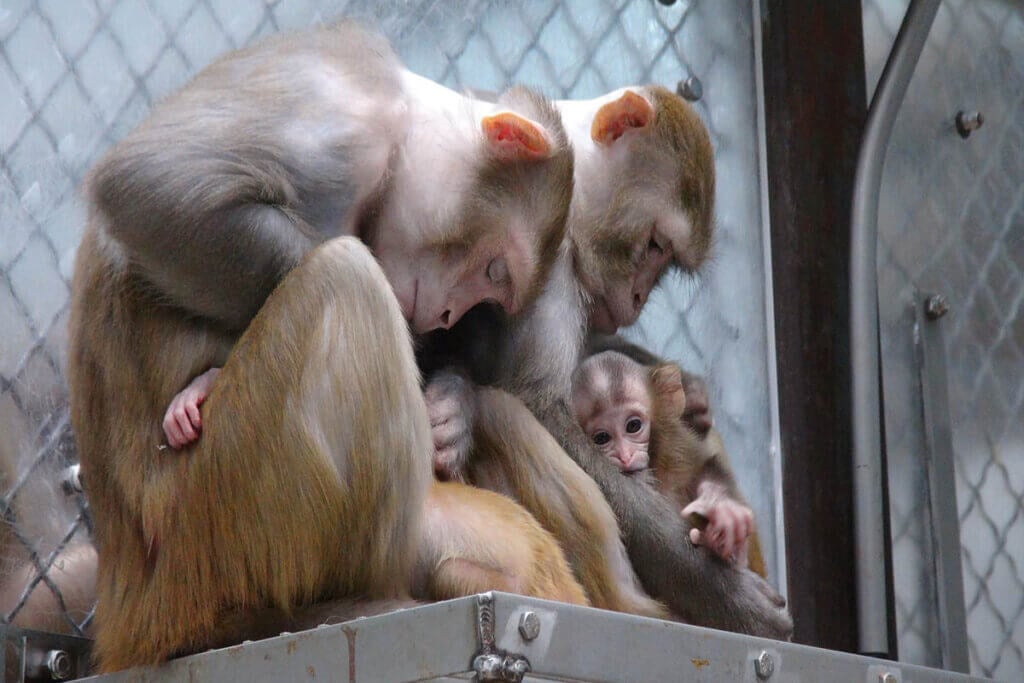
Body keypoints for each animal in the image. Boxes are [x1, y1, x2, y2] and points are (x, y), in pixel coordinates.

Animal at [65, 22, 577, 671]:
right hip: (213, 518)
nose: (446, 315)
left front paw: (452, 410)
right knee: (349, 278)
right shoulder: (347, 121)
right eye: (494, 270)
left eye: (490, 288)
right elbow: (147, 186)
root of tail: (127, 600)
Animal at [573, 350, 765, 581]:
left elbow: (702, 466)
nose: (625, 456)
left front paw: (722, 508)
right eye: (601, 438)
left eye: (633, 425)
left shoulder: (676, 445)